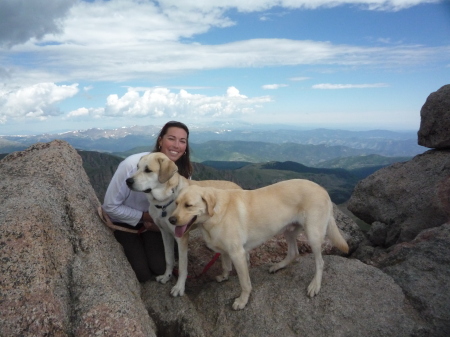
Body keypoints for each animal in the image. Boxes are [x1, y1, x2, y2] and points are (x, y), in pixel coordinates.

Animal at [125, 151, 241, 296]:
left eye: (148, 170)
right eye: (137, 167)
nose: (128, 181)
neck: (164, 202)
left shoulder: (181, 238)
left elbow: (182, 267)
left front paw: (179, 287)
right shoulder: (165, 233)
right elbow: (168, 259)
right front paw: (167, 276)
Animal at [168, 180, 348, 308]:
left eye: (188, 205)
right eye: (176, 203)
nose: (171, 220)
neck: (215, 213)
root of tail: (323, 189)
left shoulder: (238, 254)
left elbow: (245, 283)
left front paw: (242, 301)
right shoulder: (226, 251)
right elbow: (225, 265)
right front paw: (224, 276)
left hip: (313, 234)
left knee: (320, 262)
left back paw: (315, 285)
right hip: (288, 231)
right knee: (293, 253)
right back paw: (278, 266)